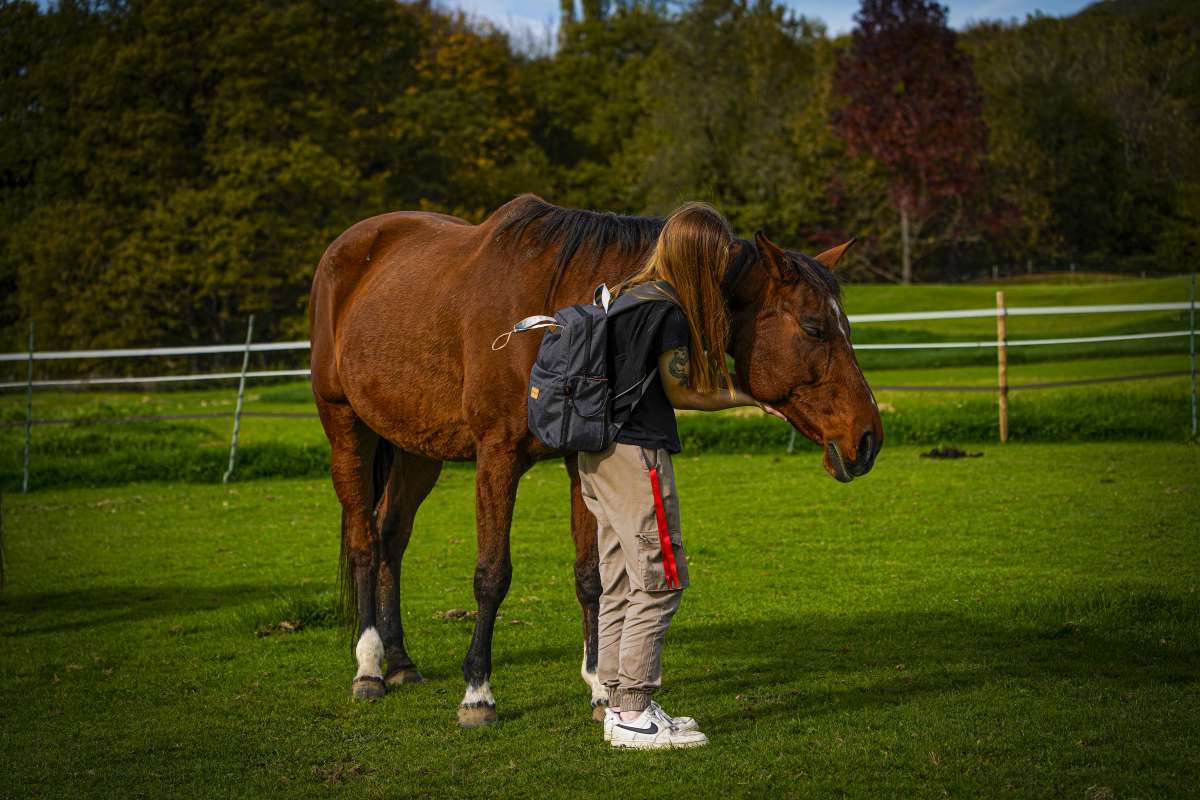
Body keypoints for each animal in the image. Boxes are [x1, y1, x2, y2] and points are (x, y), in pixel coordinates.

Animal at [304, 191, 878, 724]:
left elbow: (591, 577)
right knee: (363, 542)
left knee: (390, 537)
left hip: (416, 449)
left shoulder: (581, 458)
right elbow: (492, 575)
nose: (868, 439)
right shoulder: (496, 457)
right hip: (346, 427)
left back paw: (401, 662)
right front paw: (478, 693)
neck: (564, 316)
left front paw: (602, 688)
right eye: (813, 327)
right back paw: (369, 668)